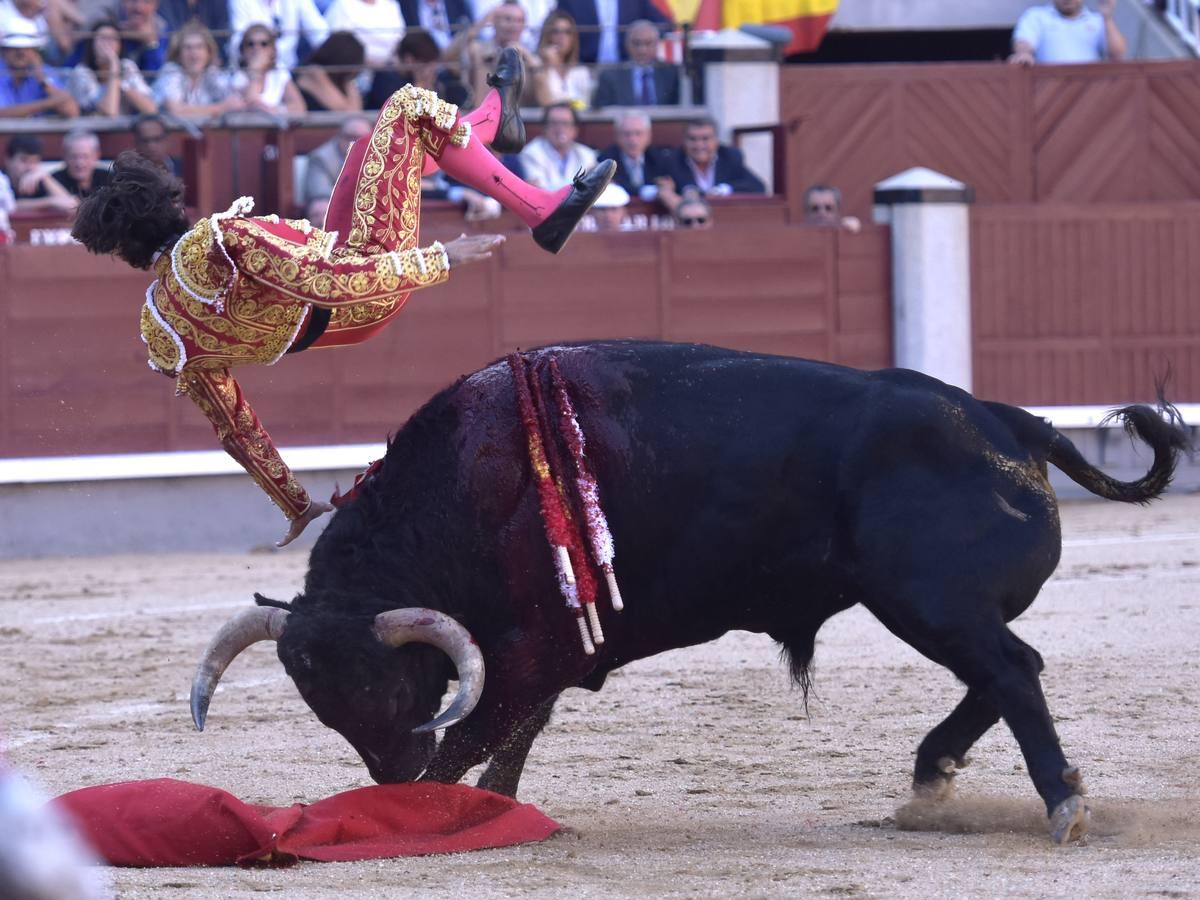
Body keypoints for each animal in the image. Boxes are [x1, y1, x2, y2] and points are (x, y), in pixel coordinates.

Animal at [192, 340, 1185, 844]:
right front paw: (503, 813)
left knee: (1012, 671)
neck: (473, 482)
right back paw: (932, 779)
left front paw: (437, 812)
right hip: (927, 607)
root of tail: (1008, 422)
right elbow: (514, 734)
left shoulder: (533, 647)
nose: (387, 777)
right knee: (1006, 671)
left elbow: (480, 734)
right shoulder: (550, 651)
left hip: (928, 601)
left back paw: (1060, 804)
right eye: (320, 702)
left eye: (386, 685)